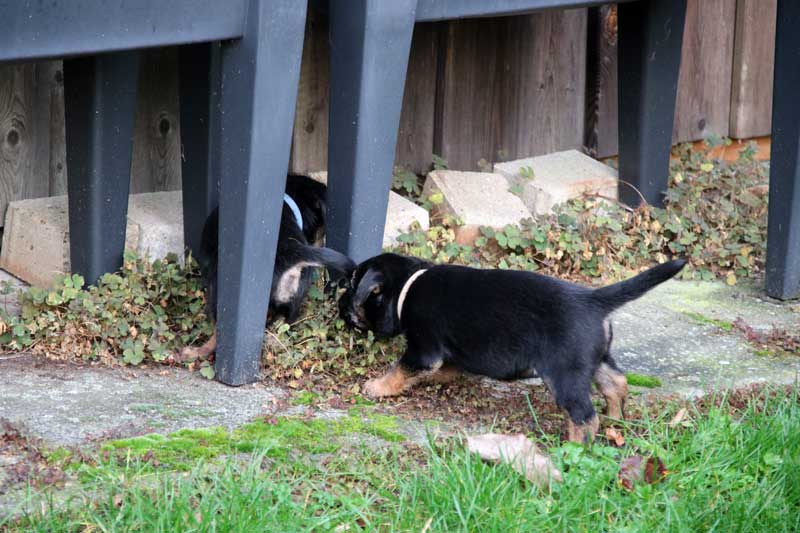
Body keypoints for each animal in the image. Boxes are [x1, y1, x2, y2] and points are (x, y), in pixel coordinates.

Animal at [338, 253, 686, 443]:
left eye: (352, 286)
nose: (339, 303)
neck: (408, 286)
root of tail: (593, 299)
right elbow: (448, 367)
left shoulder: (423, 349)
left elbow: (400, 369)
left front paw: (376, 386)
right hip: (593, 358)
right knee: (616, 383)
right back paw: (616, 421)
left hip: (565, 374)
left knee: (584, 418)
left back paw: (575, 446)